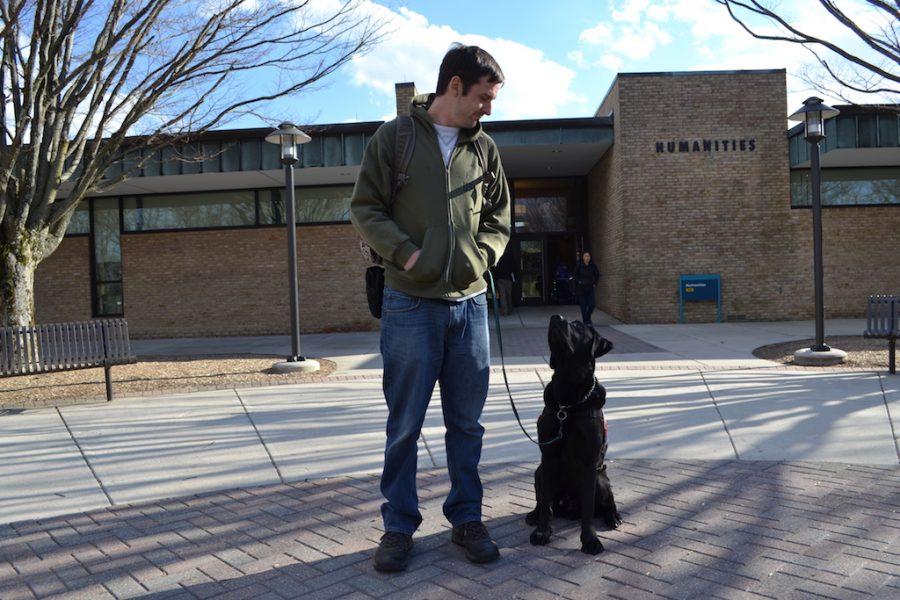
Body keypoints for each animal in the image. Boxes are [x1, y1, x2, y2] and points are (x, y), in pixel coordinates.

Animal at [528, 314, 620, 552]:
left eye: (578, 325)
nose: (556, 316)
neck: (568, 404)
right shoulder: (548, 457)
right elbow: (546, 505)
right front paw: (542, 532)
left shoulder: (589, 462)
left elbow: (588, 508)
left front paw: (590, 540)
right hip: (539, 472)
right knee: (543, 501)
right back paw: (533, 515)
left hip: (601, 479)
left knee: (606, 503)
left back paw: (613, 517)